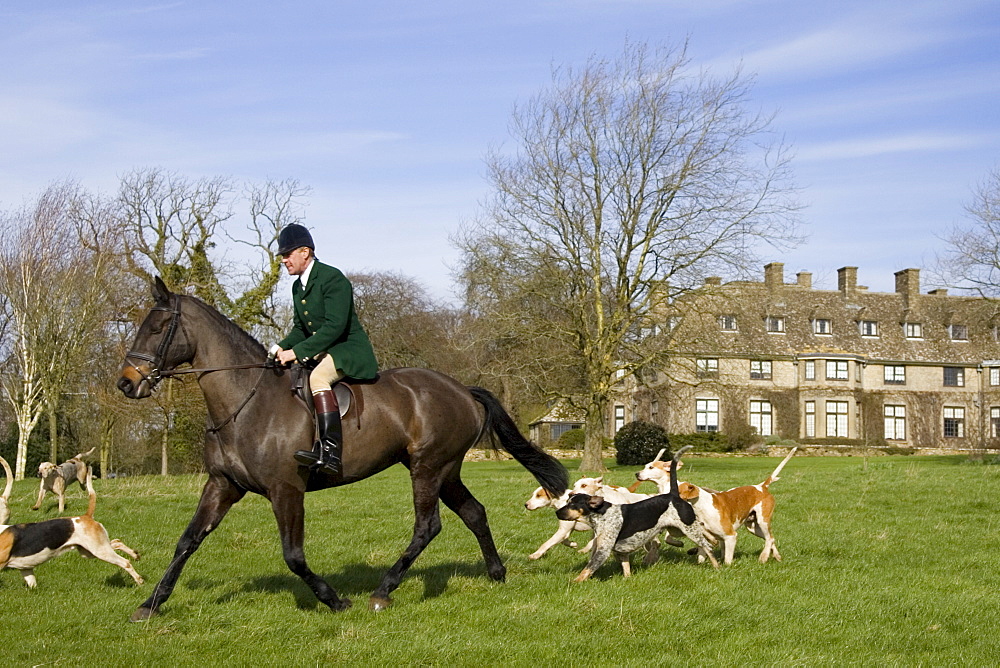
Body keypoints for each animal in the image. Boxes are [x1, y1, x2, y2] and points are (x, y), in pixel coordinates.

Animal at [0, 460, 145, 588]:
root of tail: (86, 516)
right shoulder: (26, 569)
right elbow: (32, 583)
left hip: (99, 551)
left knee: (125, 562)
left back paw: (139, 579)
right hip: (90, 550)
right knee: (116, 542)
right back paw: (135, 554)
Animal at [117, 278, 568, 620]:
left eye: (157, 328)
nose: (126, 383)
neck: (245, 402)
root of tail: (463, 390)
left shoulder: (286, 489)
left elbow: (293, 556)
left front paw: (334, 600)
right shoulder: (222, 485)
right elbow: (187, 541)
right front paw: (151, 603)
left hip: (427, 468)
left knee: (427, 526)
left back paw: (383, 591)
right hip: (447, 470)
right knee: (474, 513)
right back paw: (496, 573)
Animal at [556, 446, 720, 580]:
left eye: (572, 504)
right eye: (567, 501)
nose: (557, 512)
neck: (603, 515)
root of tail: (673, 494)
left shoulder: (603, 551)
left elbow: (587, 570)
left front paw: (574, 582)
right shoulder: (621, 553)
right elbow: (626, 568)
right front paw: (627, 578)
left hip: (688, 528)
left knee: (707, 546)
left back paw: (716, 565)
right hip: (678, 529)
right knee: (706, 534)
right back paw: (714, 542)